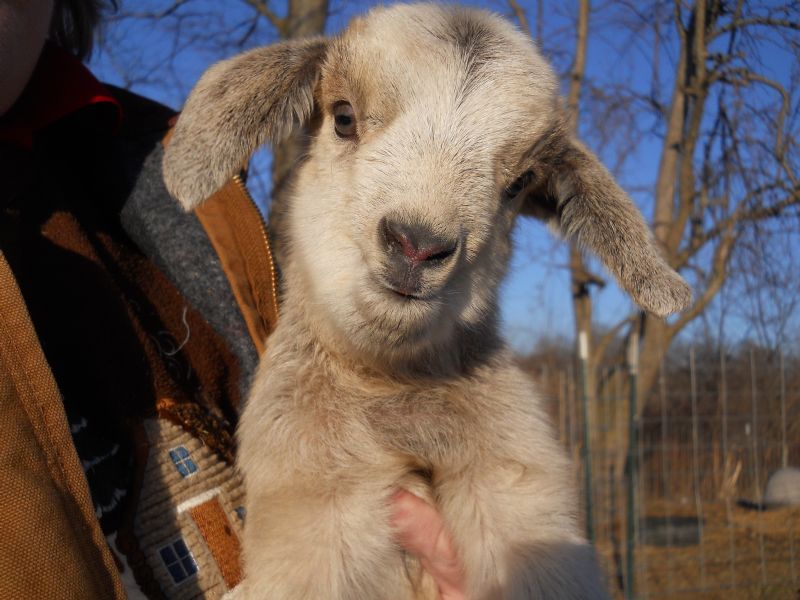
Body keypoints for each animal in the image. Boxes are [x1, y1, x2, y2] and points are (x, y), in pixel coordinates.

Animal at [163, 4, 691, 598]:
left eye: (519, 185)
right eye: (342, 118)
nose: (416, 245)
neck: (390, 388)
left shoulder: (516, 482)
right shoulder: (313, 504)